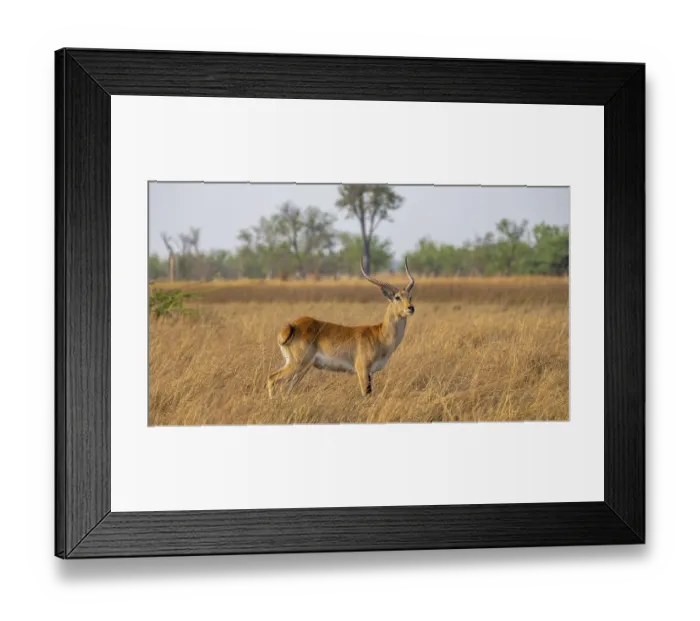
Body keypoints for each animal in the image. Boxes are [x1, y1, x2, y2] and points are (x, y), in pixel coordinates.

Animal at [267, 260, 416, 398]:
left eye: (410, 296)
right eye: (397, 297)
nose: (411, 308)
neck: (379, 335)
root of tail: (292, 326)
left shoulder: (370, 373)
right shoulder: (362, 370)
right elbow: (366, 395)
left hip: (301, 369)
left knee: (285, 388)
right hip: (297, 364)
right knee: (272, 378)